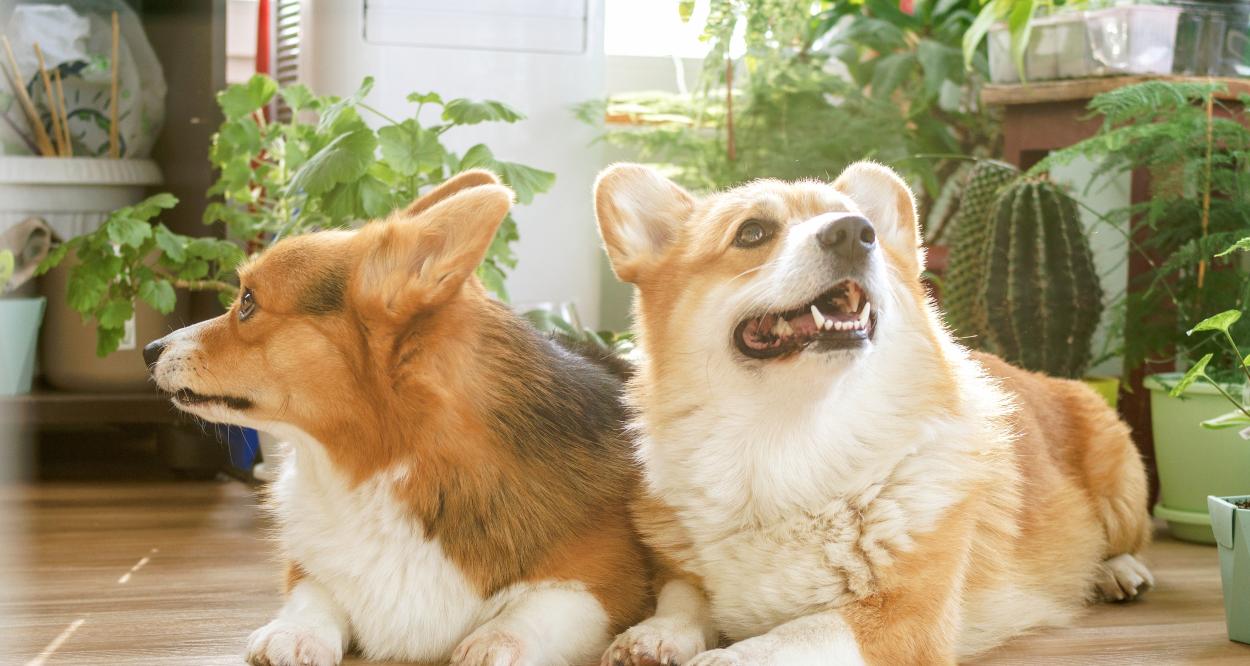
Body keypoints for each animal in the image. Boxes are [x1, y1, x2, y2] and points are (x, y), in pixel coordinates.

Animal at [144, 170, 650, 666]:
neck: (383, 467)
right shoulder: (311, 568)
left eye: (248, 301)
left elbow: (538, 608)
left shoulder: (607, 587)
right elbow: (316, 592)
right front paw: (295, 633)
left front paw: (496, 642)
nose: (150, 350)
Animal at [592, 162, 1153, 665]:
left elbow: (795, 632)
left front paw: (726, 658)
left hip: (1120, 481)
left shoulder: (904, 618)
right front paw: (654, 635)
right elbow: (683, 595)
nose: (853, 233)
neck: (788, 444)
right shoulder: (682, 569)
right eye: (752, 232)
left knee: (1129, 538)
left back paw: (1117, 572)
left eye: (868, 229)